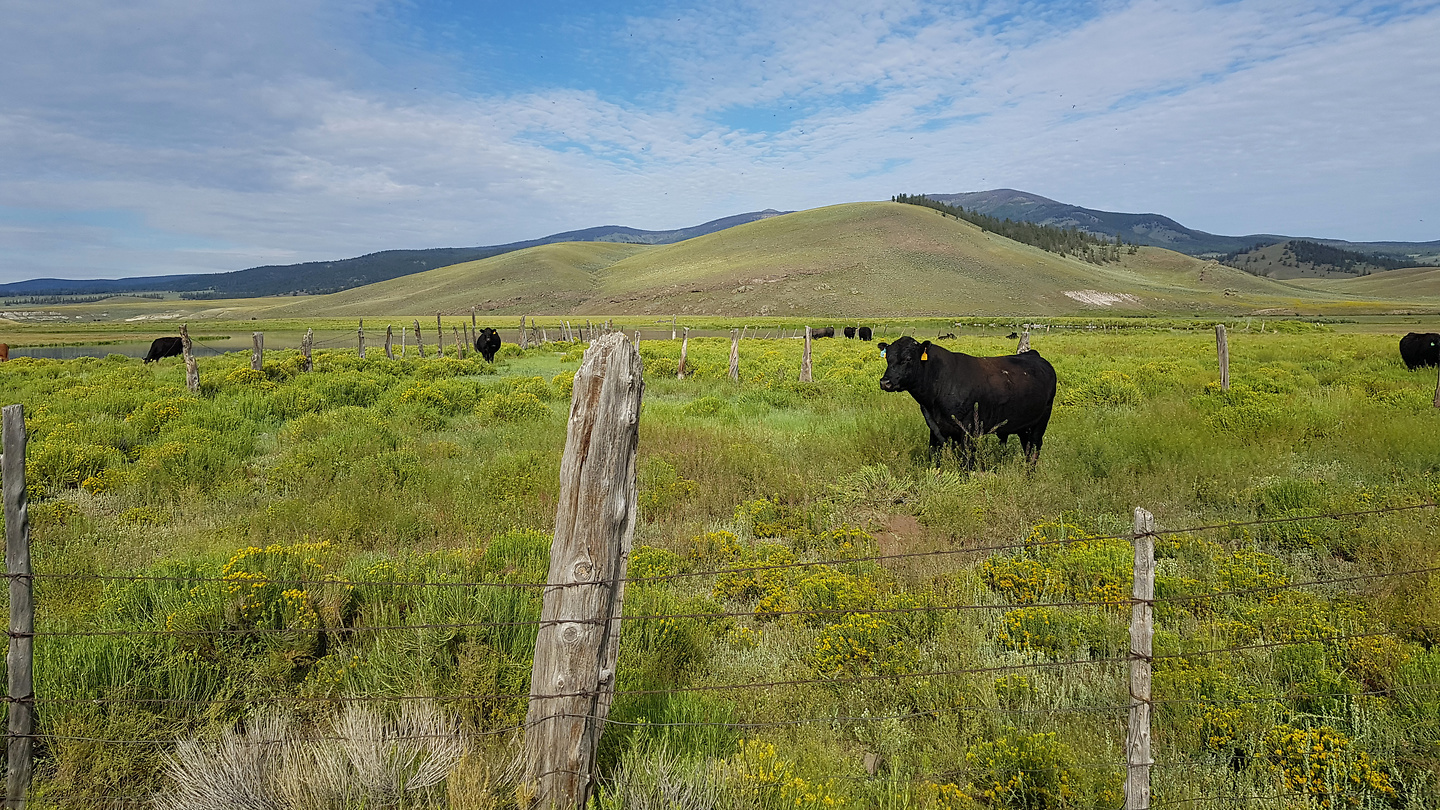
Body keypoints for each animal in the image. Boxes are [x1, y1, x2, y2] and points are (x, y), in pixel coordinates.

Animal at [875, 335, 1059, 466]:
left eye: (908, 358)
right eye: (888, 358)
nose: (885, 382)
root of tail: (1034, 355)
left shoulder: (968, 430)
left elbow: (966, 462)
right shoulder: (935, 428)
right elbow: (934, 457)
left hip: (1040, 423)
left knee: (1033, 450)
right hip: (1023, 426)